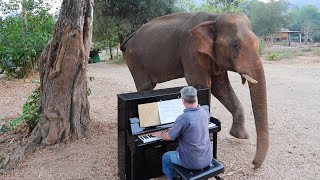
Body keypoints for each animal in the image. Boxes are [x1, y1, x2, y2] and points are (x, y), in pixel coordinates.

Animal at [120, 11, 268, 168]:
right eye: (235, 46)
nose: (254, 164)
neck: (213, 18)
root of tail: (131, 36)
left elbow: (221, 87)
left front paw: (240, 136)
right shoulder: (191, 50)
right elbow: (203, 84)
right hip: (135, 62)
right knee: (145, 86)